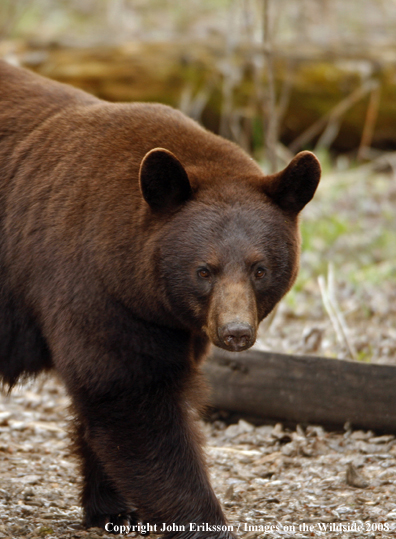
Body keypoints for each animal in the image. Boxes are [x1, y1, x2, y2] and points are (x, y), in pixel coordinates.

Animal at [0, 58, 322, 536]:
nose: (236, 332)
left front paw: (114, 508)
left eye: (260, 269)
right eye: (203, 270)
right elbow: (131, 395)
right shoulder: (95, 289)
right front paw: (203, 518)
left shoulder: (175, 322)